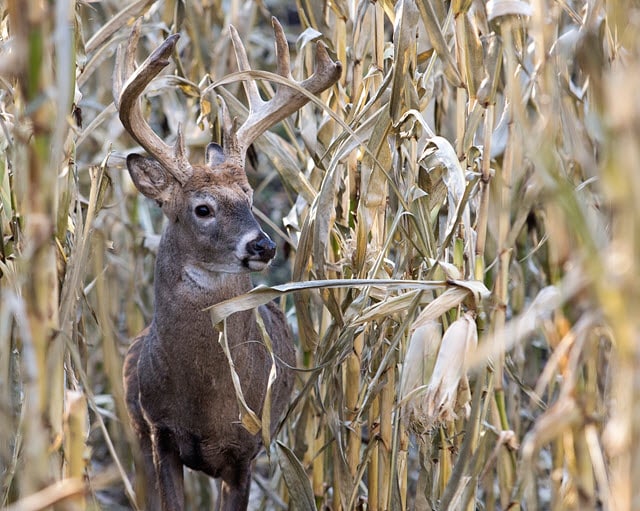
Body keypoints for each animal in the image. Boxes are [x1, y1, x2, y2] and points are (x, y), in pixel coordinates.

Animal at [115, 18, 344, 510]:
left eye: (250, 196)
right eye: (202, 208)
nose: (264, 246)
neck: (208, 402)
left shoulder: (246, 449)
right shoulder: (161, 433)